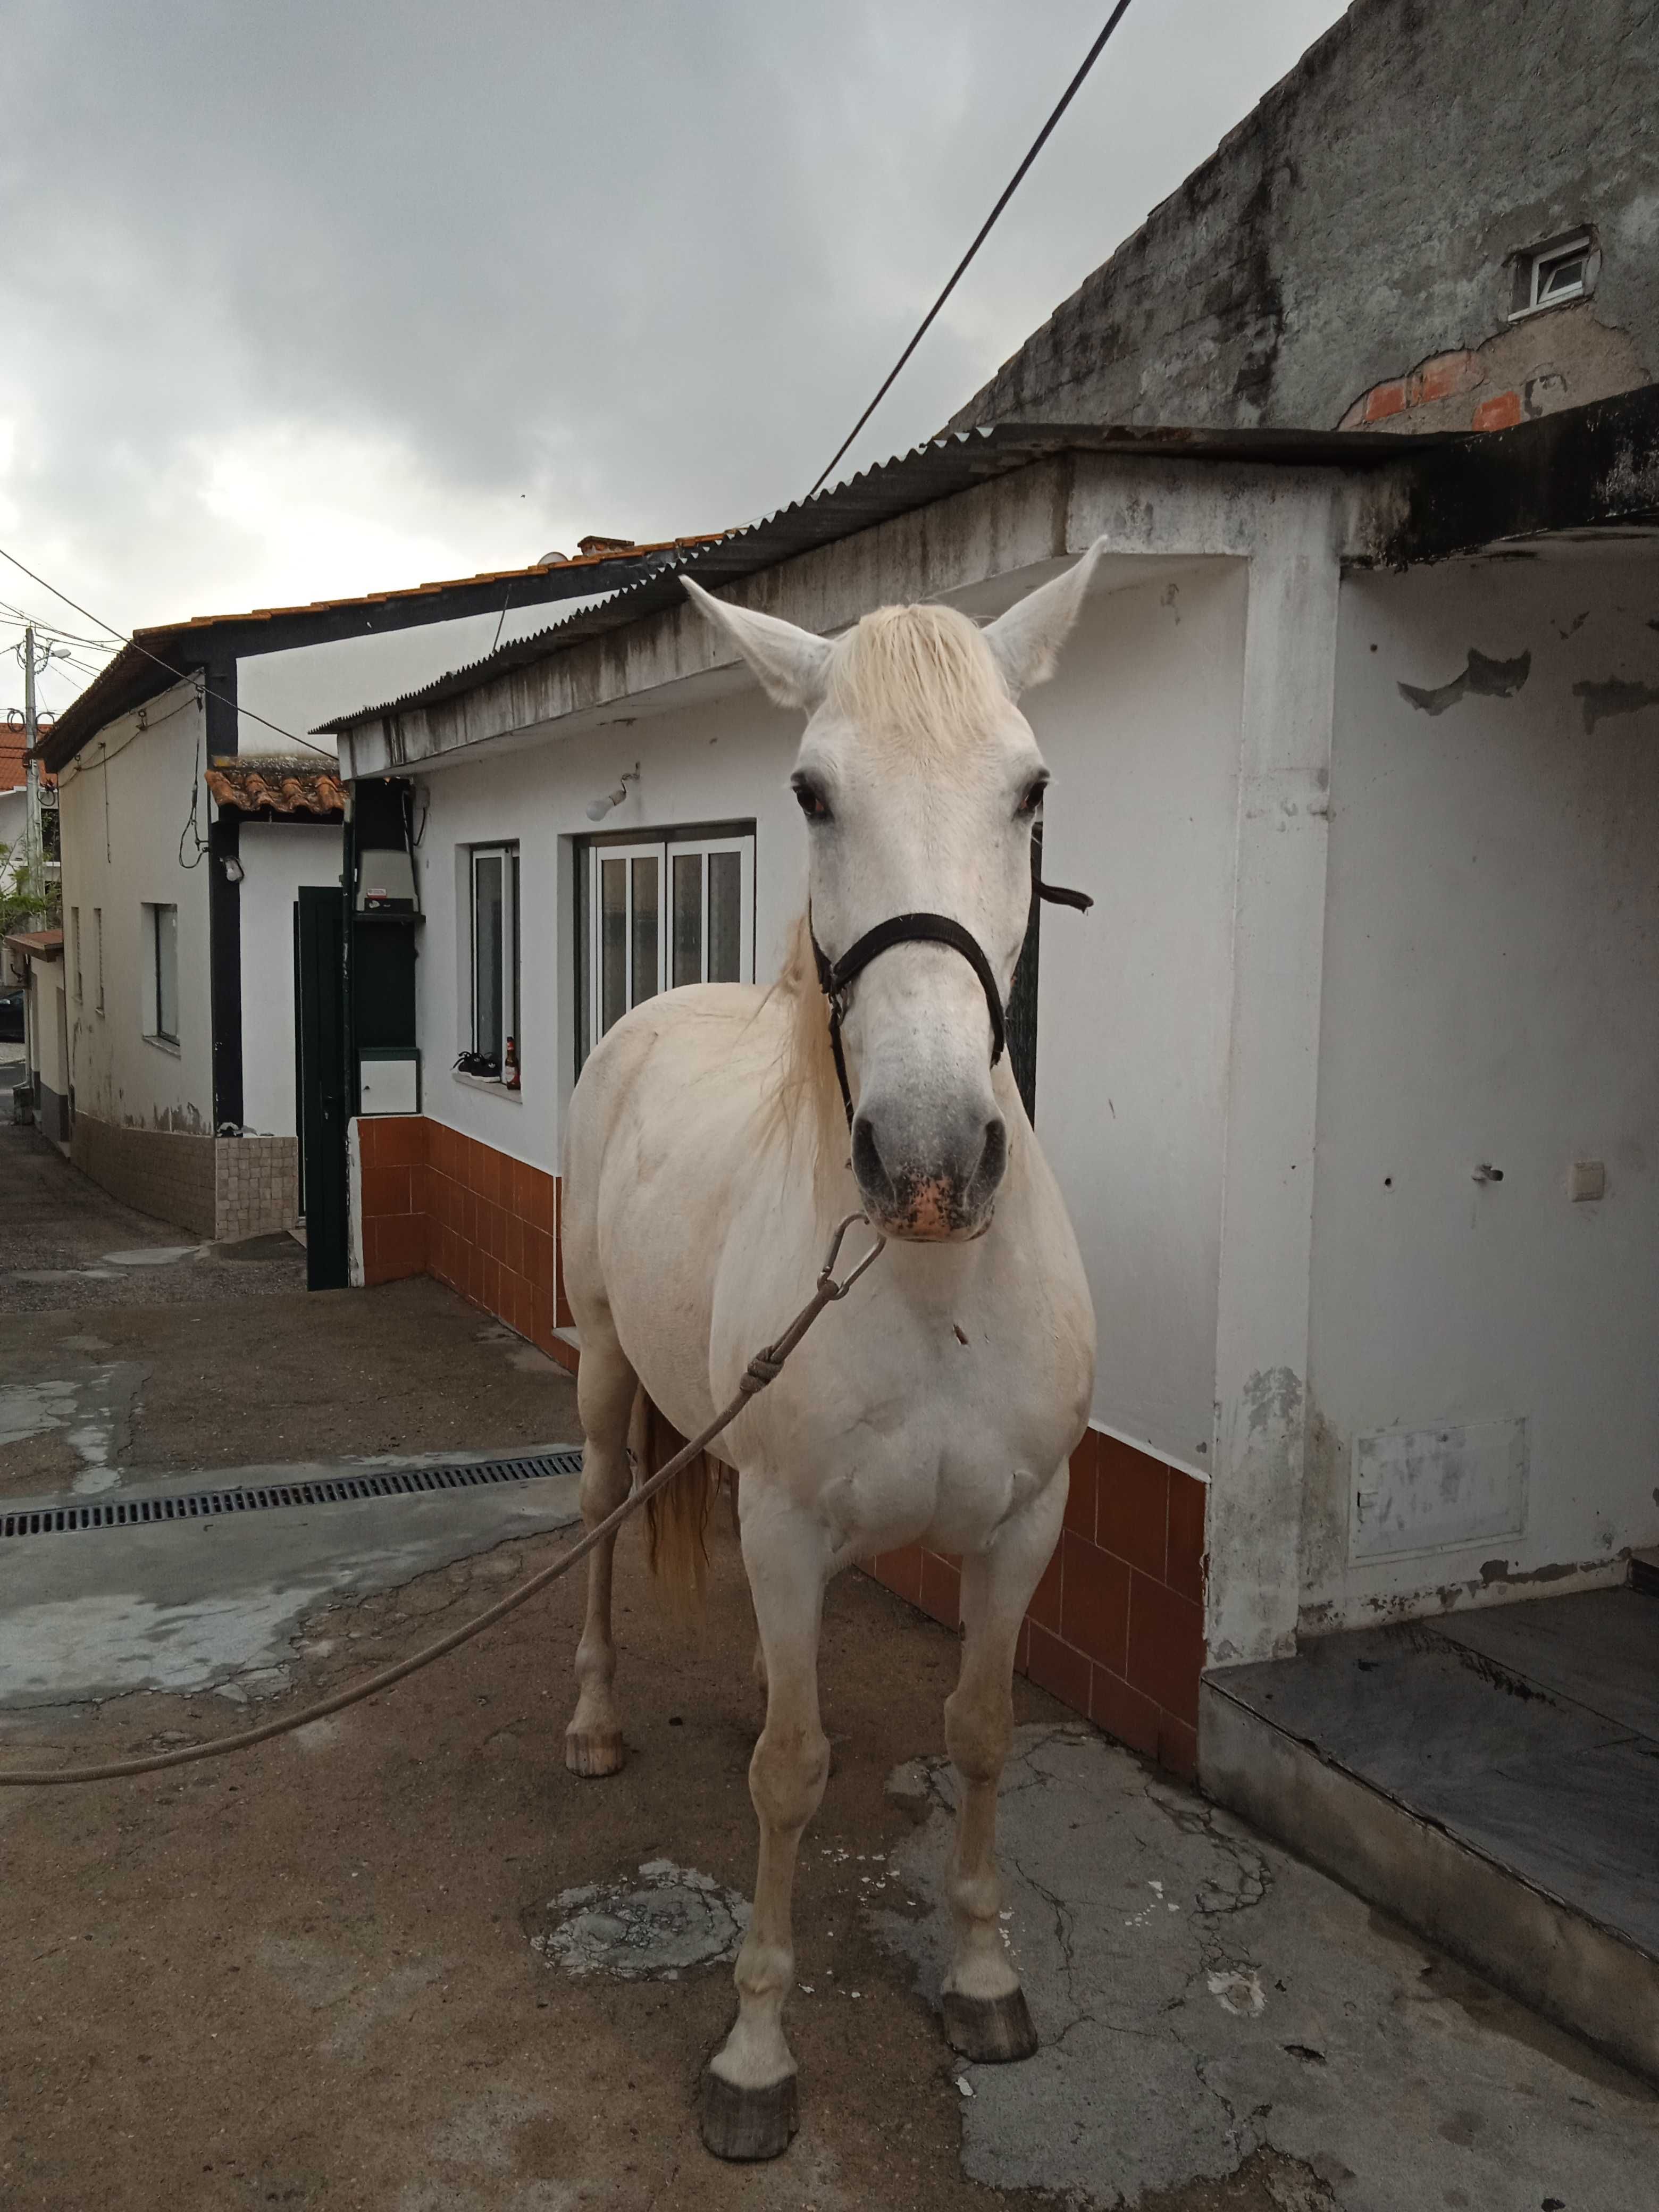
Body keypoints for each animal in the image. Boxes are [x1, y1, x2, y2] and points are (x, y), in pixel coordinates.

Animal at [562, 540, 1106, 2159]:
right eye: (808, 792)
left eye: (1030, 787)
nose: (926, 1162)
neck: (929, 1283)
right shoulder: (789, 1526)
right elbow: (788, 1780)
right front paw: (753, 2055)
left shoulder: (1022, 1526)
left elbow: (979, 1729)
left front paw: (984, 1977)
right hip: (604, 1376)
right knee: (599, 1522)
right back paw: (595, 1721)